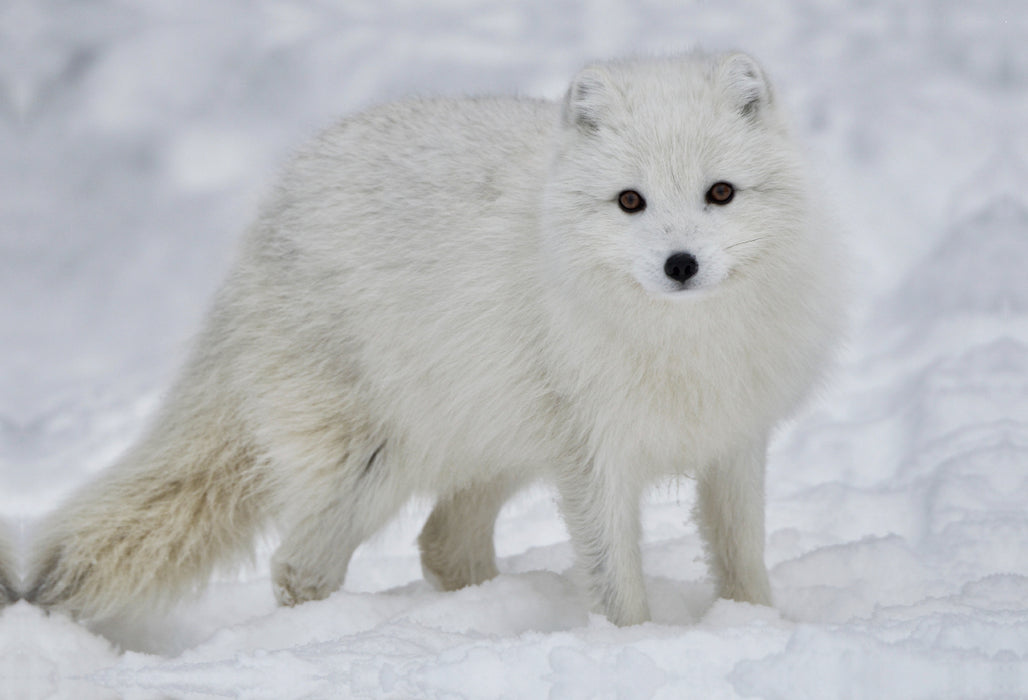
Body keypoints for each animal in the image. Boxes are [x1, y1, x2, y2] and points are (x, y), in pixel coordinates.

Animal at [26, 51, 842, 624]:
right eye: (631, 202)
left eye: (721, 193)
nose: (680, 265)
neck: (684, 346)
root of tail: (273, 209)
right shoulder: (596, 458)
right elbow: (618, 587)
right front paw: (635, 648)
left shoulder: (733, 440)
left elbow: (741, 558)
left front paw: (757, 626)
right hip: (378, 460)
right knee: (300, 567)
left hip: (495, 442)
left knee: (442, 545)